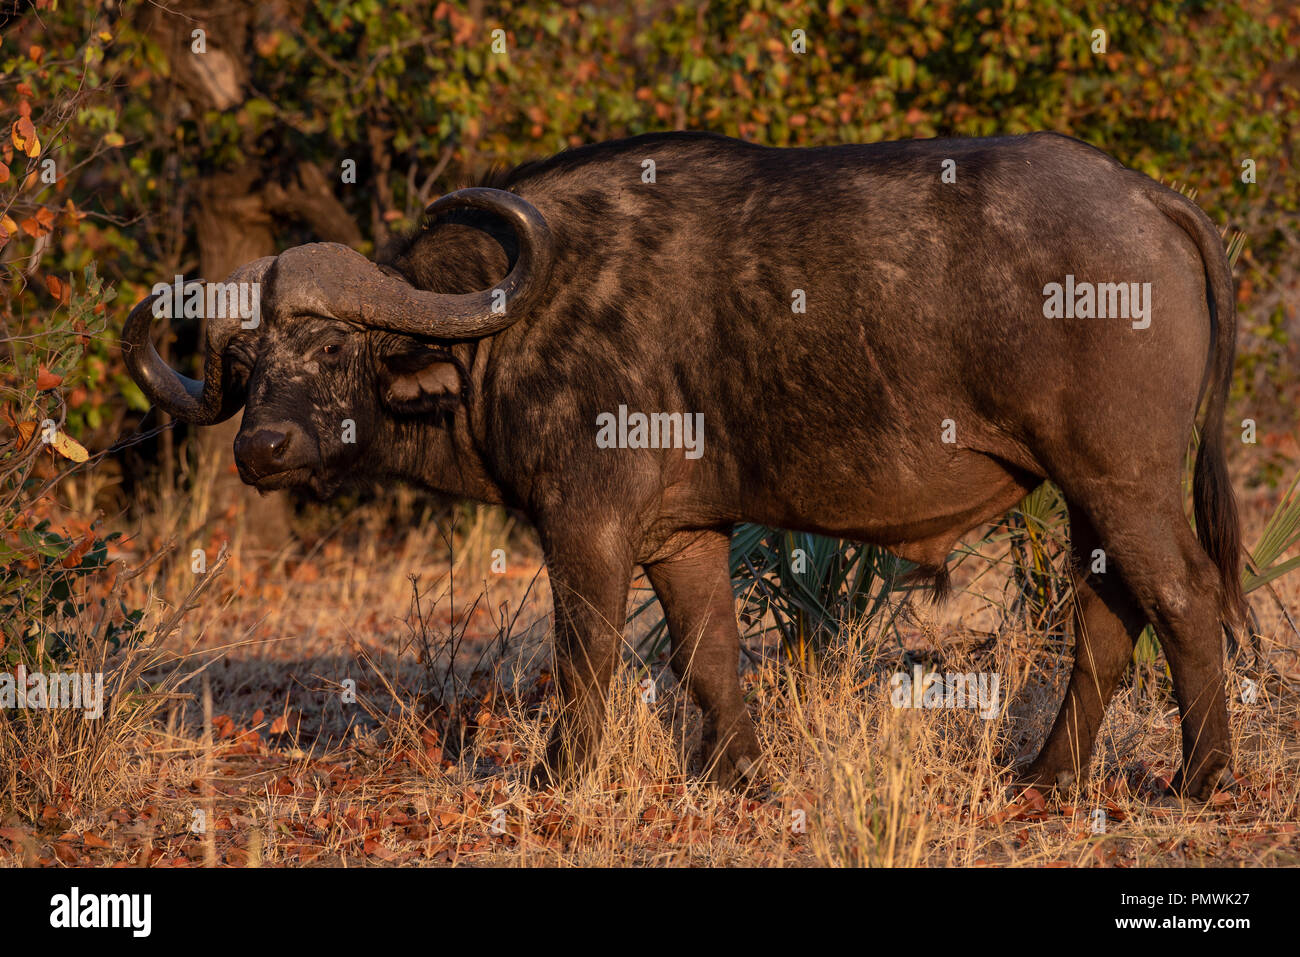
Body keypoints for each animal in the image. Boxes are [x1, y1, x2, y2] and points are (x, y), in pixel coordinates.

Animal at [122, 131, 1243, 799]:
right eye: (247, 364)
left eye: (329, 348)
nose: (261, 448)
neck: (504, 328)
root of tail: (1151, 199)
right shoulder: (682, 535)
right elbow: (709, 655)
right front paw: (742, 777)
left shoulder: (586, 528)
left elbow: (585, 658)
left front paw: (555, 779)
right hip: (1091, 496)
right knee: (1110, 614)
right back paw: (1047, 775)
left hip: (1122, 481)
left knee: (1185, 597)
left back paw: (1199, 778)